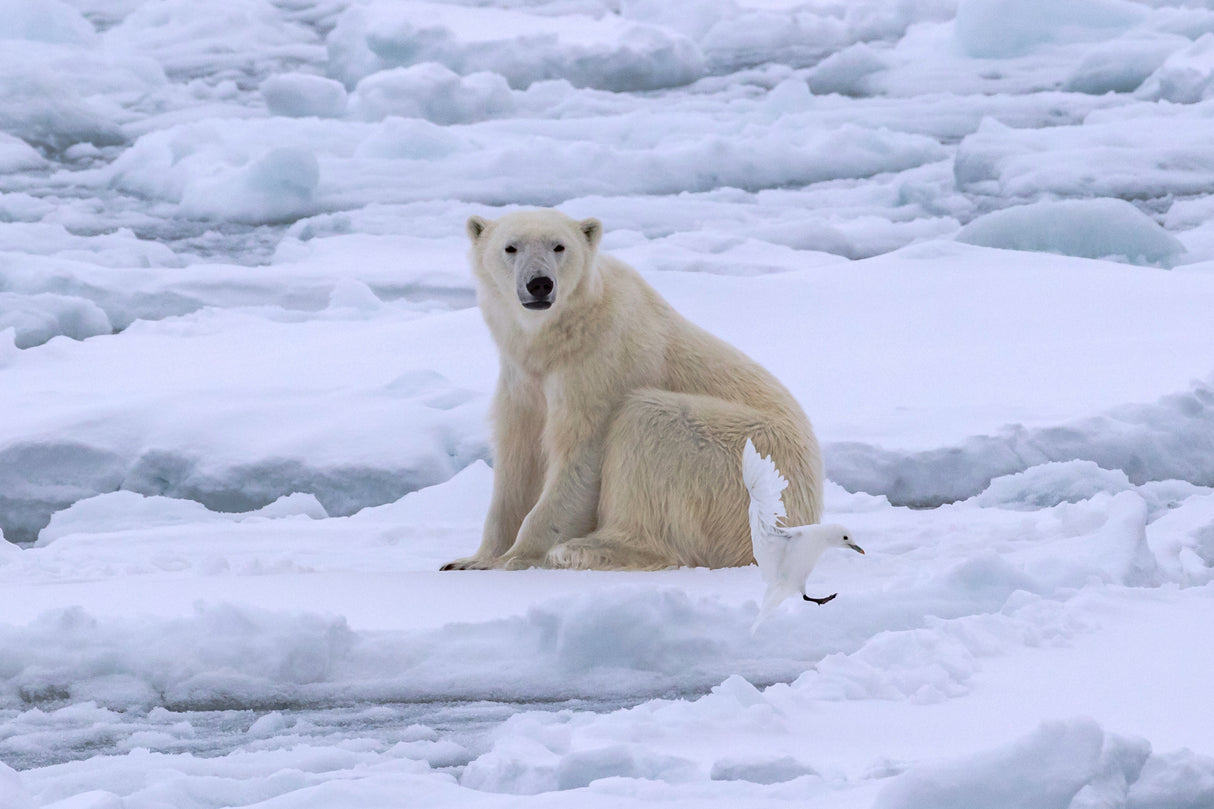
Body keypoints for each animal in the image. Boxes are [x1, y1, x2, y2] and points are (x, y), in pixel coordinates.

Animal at [441, 209, 822, 571]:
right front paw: (472, 560)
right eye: (511, 247)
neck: (564, 336)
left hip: (742, 461)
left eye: (559, 246)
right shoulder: (522, 381)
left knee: (648, 423)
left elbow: (580, 455)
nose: (539, 284)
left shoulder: (602, 365)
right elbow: (518, 459)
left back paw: (580, 550)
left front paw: (518, 557)